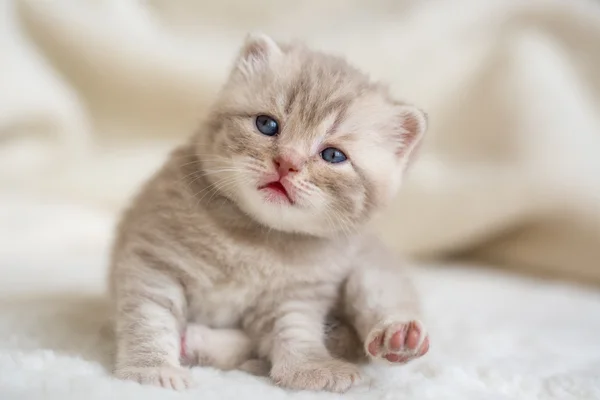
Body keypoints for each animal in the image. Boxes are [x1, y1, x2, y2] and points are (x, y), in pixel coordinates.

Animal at [110, 32, 428, 392]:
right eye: (266, 124)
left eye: (333, 155)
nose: (287, 162)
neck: (253, 240)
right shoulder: (154, 260)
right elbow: (149, 318)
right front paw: (151, 370)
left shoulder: (297, 294)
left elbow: (297, 330)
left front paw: (312, 367)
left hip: (369, 268)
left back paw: (397, 336)